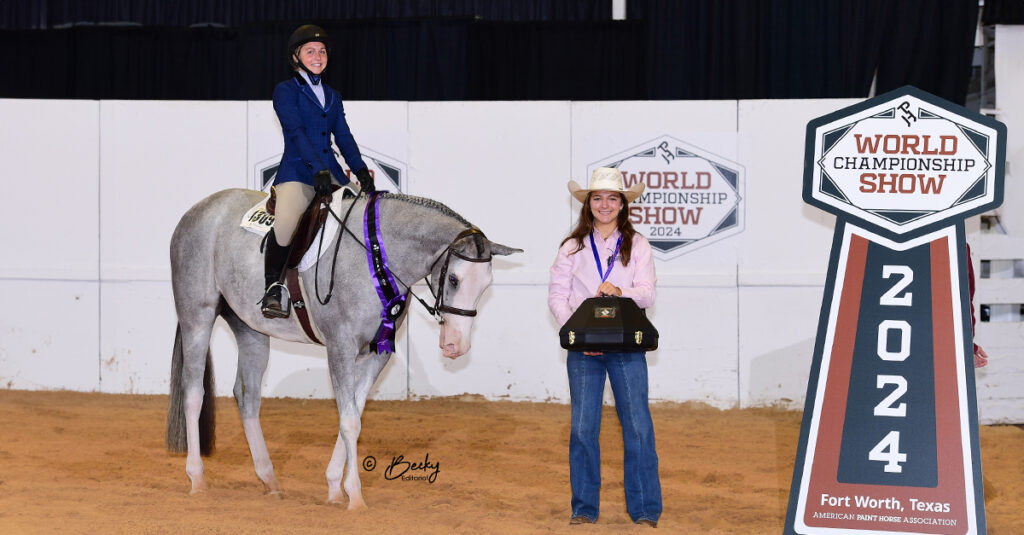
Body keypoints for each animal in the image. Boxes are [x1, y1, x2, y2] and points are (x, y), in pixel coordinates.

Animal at [165, 188, 520, 508]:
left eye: (486, 284)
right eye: (455, 280)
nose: (455, 345)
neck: (376, 256)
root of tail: (198, 210)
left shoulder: (375, 355)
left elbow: (354, 415)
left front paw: (336, 488)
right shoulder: (340, 347)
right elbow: (349, 421)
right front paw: (356, 498)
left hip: (250, 329)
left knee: (247, 396)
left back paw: (270, 481)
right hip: (197, 317)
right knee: (193, 393)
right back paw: (197, 479)